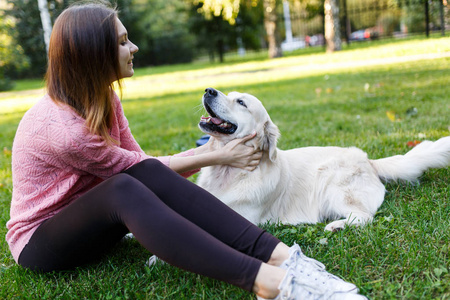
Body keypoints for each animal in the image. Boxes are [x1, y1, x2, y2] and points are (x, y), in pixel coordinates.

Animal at [197, 88, 450, 231]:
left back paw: (336, 226)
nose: (209, 90)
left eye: (241, 102)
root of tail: (369, 160)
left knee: (364, 217)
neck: (228, 171)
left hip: (333, 184)